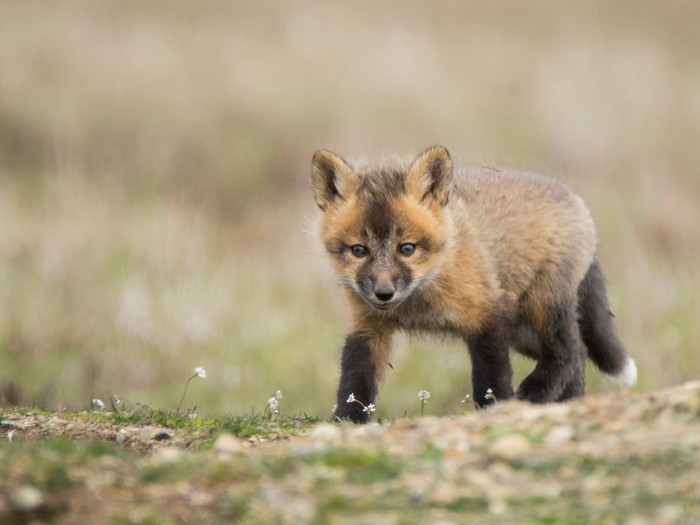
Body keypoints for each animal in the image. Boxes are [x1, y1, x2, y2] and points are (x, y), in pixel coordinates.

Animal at [311, 145, 637, 423]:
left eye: (407, 248)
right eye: (358, 250)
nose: (383, 294)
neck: (418, 301)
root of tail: (579, 207)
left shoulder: (486, 316)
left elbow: (490, 380)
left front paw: (497, 409)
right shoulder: (367, 327)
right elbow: (354, 383)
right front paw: (347, 422)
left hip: (543, 306)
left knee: (568, 349)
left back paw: (537, 392)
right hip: (522, 331)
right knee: (580, 352)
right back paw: (571, 402)